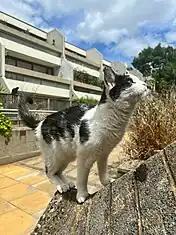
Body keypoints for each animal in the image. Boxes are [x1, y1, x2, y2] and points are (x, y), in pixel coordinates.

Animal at [17, 67, 149, 203]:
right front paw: (82, 195)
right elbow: (81, 178)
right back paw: (62, 185)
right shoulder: (84, 158)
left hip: (65, 156)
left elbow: (103, 171)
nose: (146, 85)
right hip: (55, 155)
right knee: (49, 172)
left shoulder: (104, 154)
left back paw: (67, 183)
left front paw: (107, 182)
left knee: (58, 172)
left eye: (140, 81)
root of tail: (41, 121)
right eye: (129, 82)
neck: (110, 119)